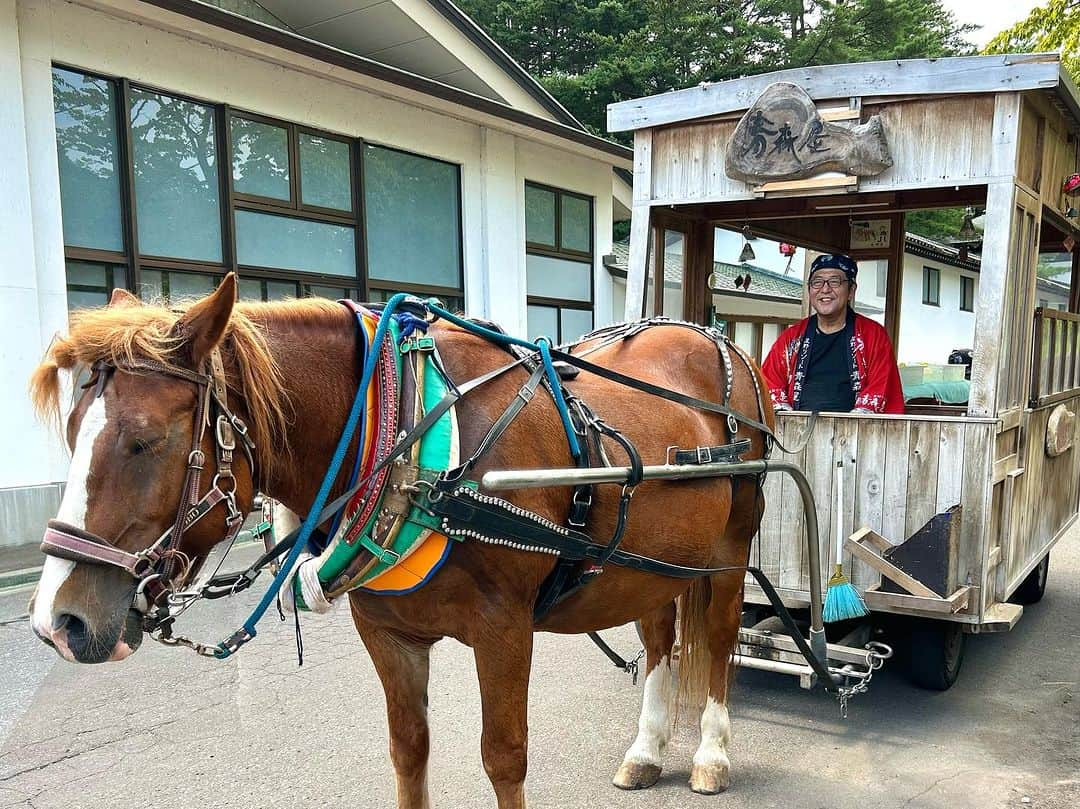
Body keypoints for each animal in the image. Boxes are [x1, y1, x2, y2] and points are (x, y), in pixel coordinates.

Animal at [29, 274, 777, 803]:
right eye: (72, 430)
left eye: (144, 440)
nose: (56, 621)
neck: (407, 440)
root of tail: (710, 334)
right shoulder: (388, 632)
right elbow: (410, 752)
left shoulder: (505, 628)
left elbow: (504, 756)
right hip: (654, 560)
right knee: (658, 634)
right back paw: (647, 749)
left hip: (731, 547)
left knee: (719, 636)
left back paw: (711, 754)